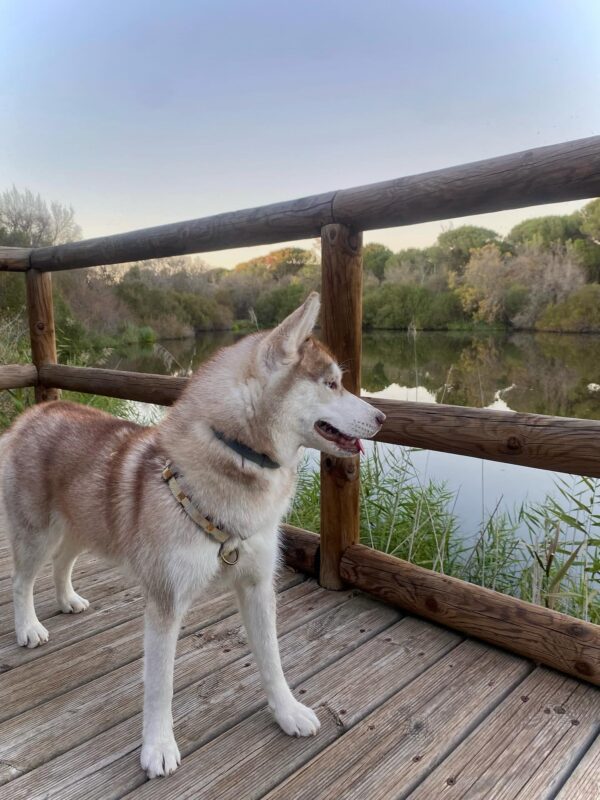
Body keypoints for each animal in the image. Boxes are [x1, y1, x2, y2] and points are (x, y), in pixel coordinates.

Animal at [0, 292, 384, 776]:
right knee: (21, 581)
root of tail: (35, 411)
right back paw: (28, 627)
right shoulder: (166, 603)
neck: (235, 460)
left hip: (83, 526)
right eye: (332, 383)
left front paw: (287, 712)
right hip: (38, 533)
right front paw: (158, 746)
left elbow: (273, 660)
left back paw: (67, 599)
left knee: (63, 561)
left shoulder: (258, 586)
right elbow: (159, 684)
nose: (383, 416)